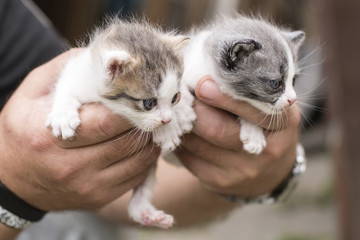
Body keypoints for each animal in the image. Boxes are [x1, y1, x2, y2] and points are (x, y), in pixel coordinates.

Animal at [45, 19, 194, 229]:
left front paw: (168, 128)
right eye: (149, 103)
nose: (167, 119)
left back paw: (147, 213)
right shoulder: (75, 72)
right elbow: (64, 86)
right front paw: (63, 115)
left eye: (175, 97)